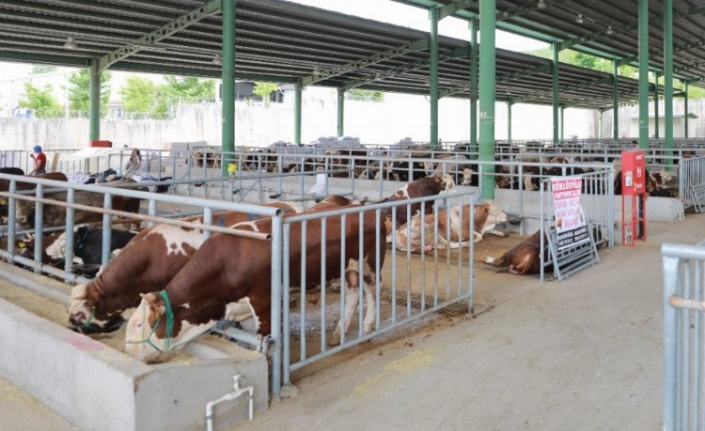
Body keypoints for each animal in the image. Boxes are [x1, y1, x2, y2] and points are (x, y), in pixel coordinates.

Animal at [123, 208, 382, 362]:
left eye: (138, 325)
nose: (126, 350)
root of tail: (367, 211)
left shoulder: (263, 299)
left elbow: (263, 338)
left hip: (368, 262)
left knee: (371, 291)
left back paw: (369, 325)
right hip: (346, 268)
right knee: (352, 294)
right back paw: (338, 333)